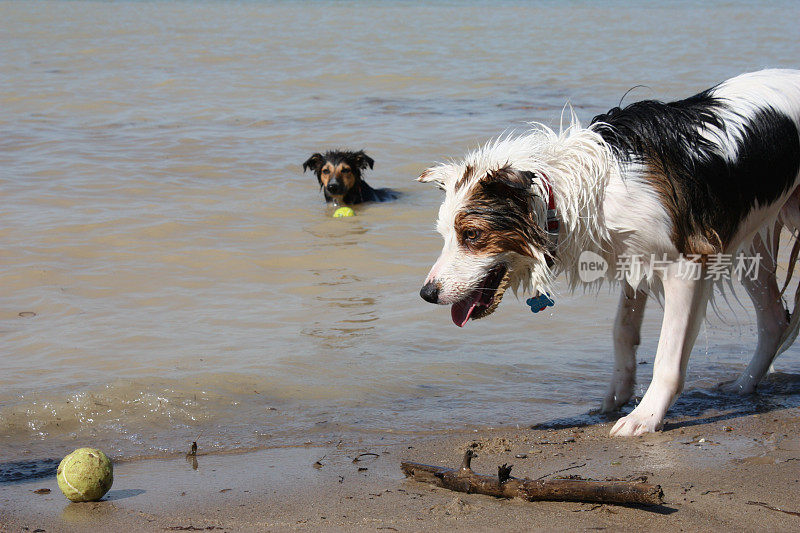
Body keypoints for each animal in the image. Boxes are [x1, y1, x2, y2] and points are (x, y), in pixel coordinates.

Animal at [418, 69, 800, 436]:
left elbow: (667, 357)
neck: (582, 195)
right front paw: (617, 395)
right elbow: (622, 332)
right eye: (445, 236)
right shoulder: (634, 259)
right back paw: (743, 387)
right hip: (752, 245)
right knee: (774, 319)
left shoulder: (686, 266)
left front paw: (645, 416)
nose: (426, 294)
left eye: (472, 235)